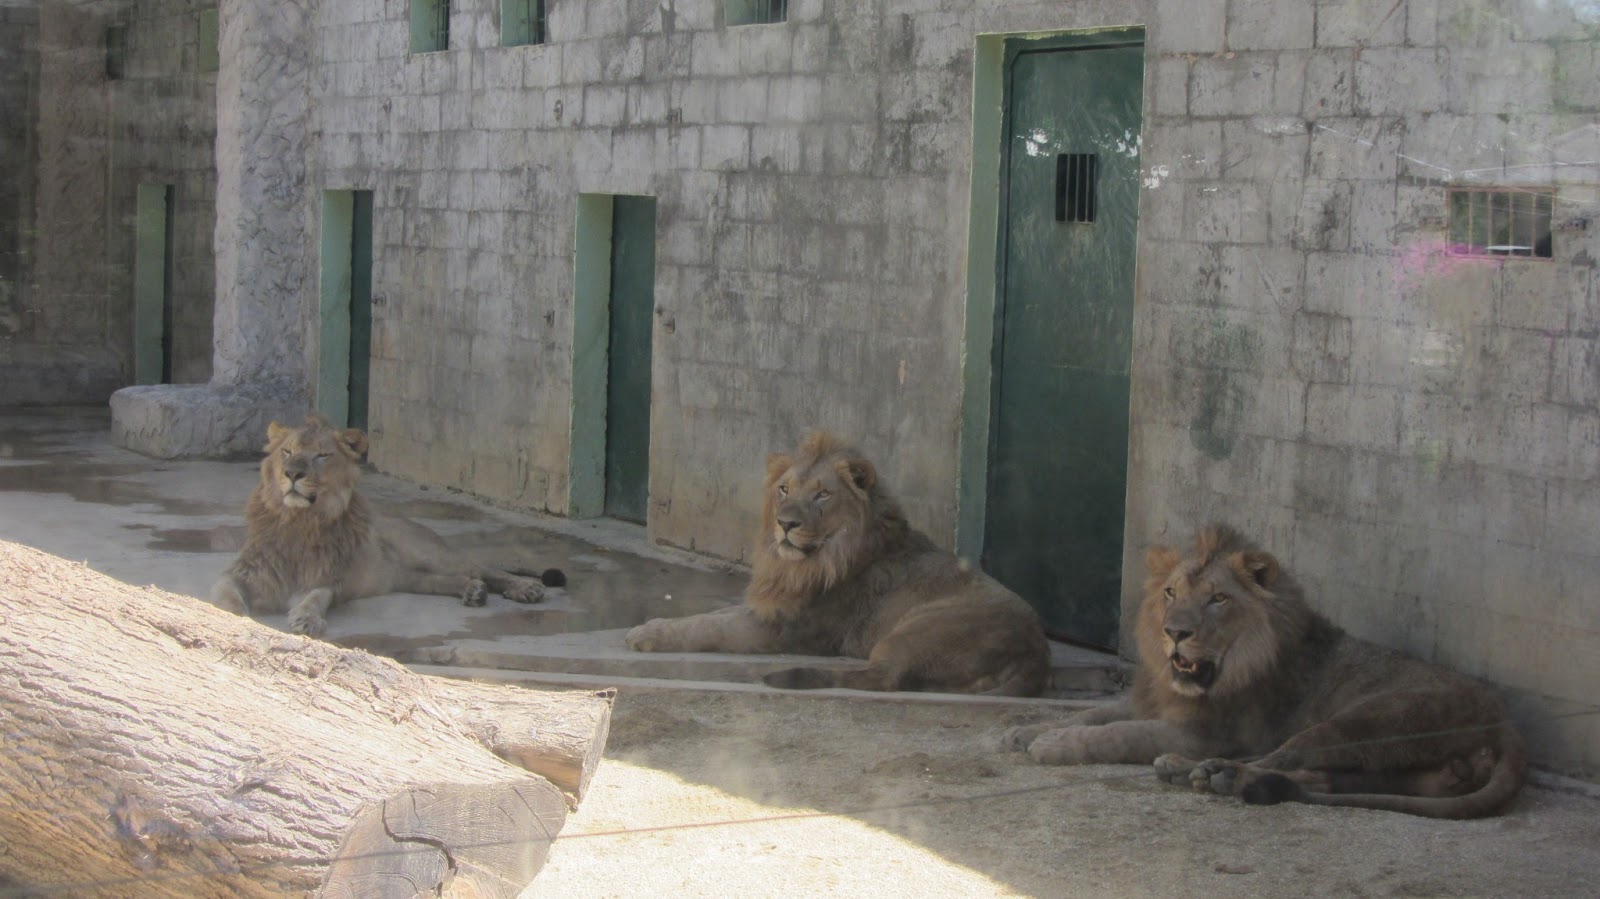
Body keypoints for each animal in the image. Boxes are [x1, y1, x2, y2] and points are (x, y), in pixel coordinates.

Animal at [208, 415, 565, 637]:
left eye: (321, 455)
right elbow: (225, 591)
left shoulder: (326, 579)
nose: (292, 474)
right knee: (452, 579)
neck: (298, 521)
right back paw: (473, 592)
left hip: (429, 553)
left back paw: (524, 588)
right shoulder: (244, 571)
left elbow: (315, 599)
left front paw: (307, 620)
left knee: (486, 568)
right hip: (406, 577)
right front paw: (231, 613)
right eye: (287, 451)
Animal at [625, 431, 1052, 696]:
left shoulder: (788, 628)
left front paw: (647, 633)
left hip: (918, 629)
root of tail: (1037, 652)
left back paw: (781, 676)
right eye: (784, 489)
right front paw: (652, 624)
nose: (785, 523)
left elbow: (711, 626)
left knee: (884, 678)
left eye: (822, 495)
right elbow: (717, 613)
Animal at [1001, 523, 1526, 818]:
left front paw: (1054, 744)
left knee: (1278, 756)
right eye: (1170, 592)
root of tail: (1507, 729)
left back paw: (1199, 772)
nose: (1175, 632)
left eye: (1217, 599)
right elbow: (1094, 714)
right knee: (1315, 778)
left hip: (1368, 719)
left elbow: (1121, 733)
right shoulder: (1151, 700)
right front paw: (1027, 730)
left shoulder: (1208, 732)